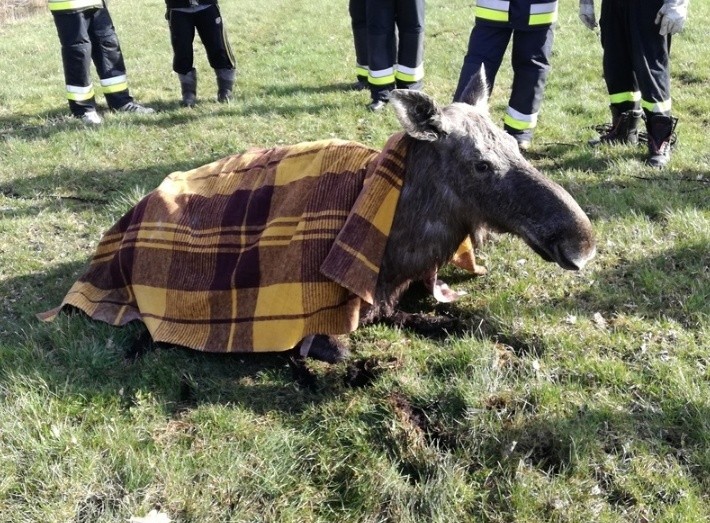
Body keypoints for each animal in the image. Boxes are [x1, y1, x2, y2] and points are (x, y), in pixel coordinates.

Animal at [41, 68, 596, 364]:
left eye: (513, 143)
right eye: (480, 162)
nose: (581, 241)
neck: (398, 251)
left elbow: (471, 318)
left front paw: (526, 339)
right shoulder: (324, 325)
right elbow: (347, 352)